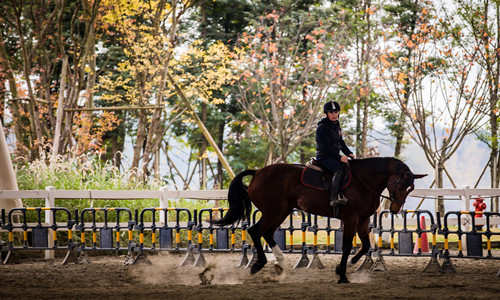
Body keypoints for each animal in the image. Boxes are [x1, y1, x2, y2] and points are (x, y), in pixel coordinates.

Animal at [212, 157, 426, 284]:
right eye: (401, 186)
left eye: (411, 189)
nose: (396, 209)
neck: (363, 181)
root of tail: (257, 172)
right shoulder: (351, 219)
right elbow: (347, 246)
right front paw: (342, 274)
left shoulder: (363, 220)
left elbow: (366, 246)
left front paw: (350, 264)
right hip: (274, 211)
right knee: (256, 231)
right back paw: (259, 264)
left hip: (281, 212)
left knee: (267, 233)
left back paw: (279, 263)